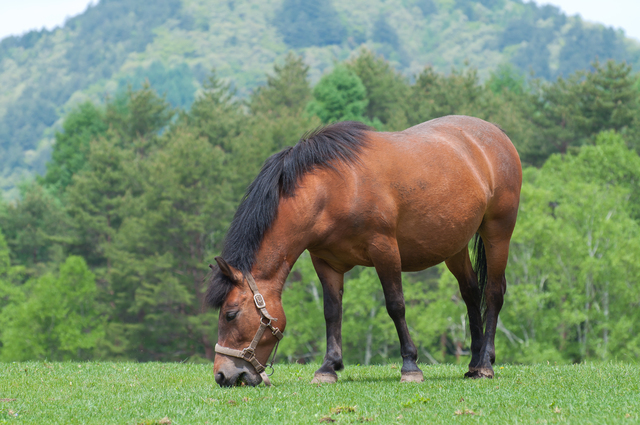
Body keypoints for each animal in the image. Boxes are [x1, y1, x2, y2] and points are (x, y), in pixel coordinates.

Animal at [206, 115, 522, 387]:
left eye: (230, 315)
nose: (222, 375)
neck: (334, 188)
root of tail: (495, 134)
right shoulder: (325, 262)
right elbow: (332, 311)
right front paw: (329, 366)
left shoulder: (385, 250)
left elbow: (395, 305)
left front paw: (410, 365)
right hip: (454, 246)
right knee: (471, 292)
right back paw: (474, 361)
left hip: (498, 233)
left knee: (493, 293)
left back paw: (485, 363)